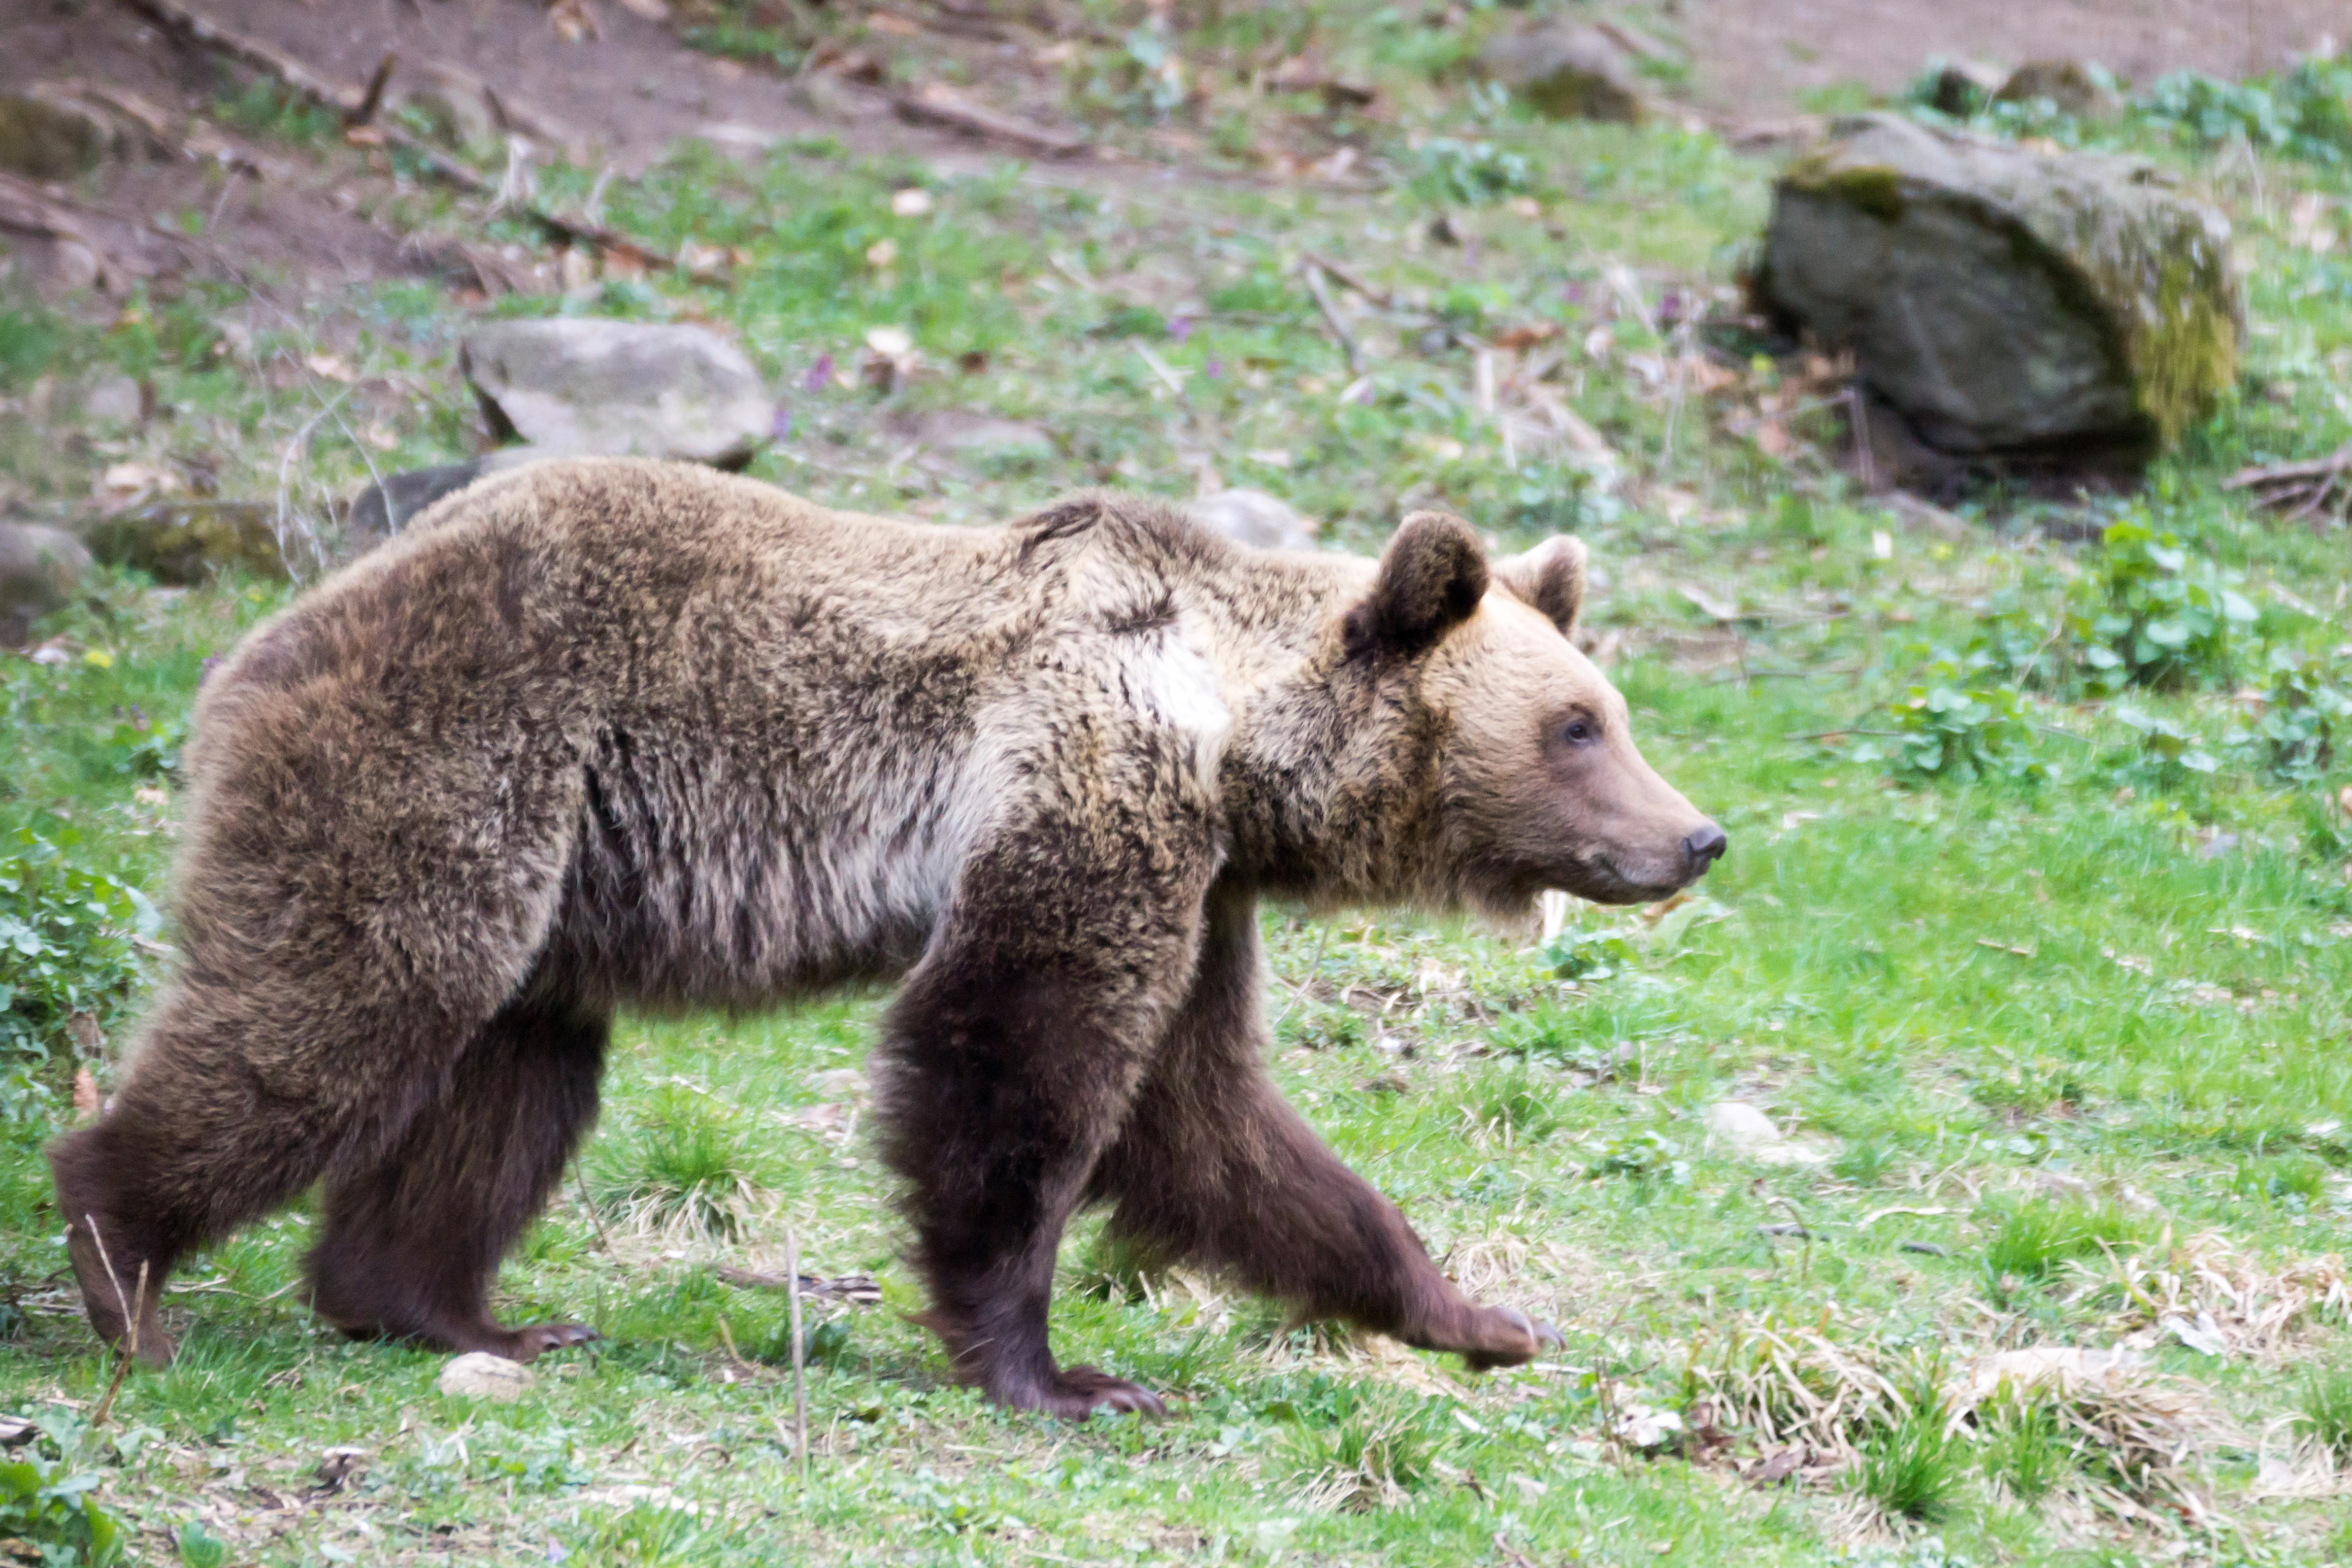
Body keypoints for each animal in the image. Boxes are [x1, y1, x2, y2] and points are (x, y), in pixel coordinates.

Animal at [48, 457, 1724, 1416]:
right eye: (1576, 724)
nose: (1696, 834)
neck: (1228, 733)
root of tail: (266, 638)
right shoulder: (1080, 791)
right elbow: (1010, 1054)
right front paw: (1057, 1372)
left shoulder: (1200, 882)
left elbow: (1208, 1114)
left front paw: (1475, 1315)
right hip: (455, 753)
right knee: (341, 1003)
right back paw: (124, 1264)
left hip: (565, 874)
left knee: (510, 1077)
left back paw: (462, 1309)